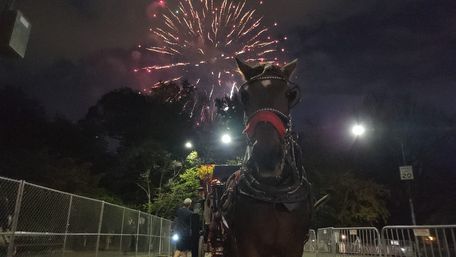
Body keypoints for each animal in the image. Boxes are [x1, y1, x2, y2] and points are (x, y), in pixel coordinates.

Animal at [218, 58, 312, 256]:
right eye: (245, 96)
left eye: (290, 95)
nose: (266, 157)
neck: (274, 194)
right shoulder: (246, 244)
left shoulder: (294, 246)